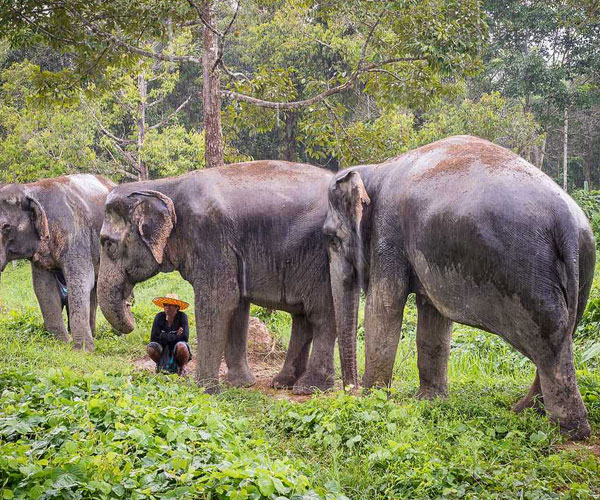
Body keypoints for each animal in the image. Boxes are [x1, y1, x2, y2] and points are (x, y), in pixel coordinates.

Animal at [0, 174, 115, 350]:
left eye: (5, 226)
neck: (30, 189)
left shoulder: (75, 234)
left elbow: (80, 281)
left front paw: (83, 350)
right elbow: (43, 287)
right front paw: (61, 345)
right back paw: (94, 334)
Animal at [96, 160, 336, 394]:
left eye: (108, 244)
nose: (131, 311)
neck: (163, 185)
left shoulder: (210, 238)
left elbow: (218, 303)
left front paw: (205, 390)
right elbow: (237, 308)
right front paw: (239, 385)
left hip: (323, 261)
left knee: (321, 315)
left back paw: (309, 388)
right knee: (302, 317)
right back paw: (284, 383)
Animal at [326, 135, 596, 440]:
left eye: (331, 238)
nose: (350, 391)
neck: (374, 170)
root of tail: (567, 223)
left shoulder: (388, 233)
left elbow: (383, 307)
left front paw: (373, 399)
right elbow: (433, 316)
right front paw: (430, 401)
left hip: (530, 273)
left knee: (550, 341)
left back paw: (568, 430)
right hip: (583, 266)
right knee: (564, 335)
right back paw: (525, 410)